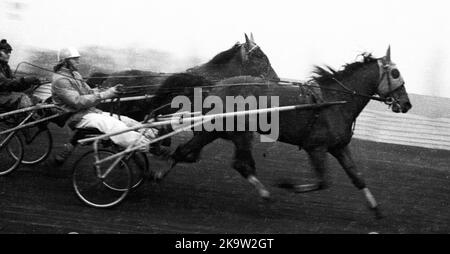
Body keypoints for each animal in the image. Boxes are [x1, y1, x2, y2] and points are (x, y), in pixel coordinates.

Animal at [150, 46, 412, 217]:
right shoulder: (316, 147)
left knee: (212, 157)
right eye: (396, 73)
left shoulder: (339, 147)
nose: (406, 104)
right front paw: (288, 185)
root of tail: (215, 85)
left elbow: (357, 177)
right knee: (209, 156)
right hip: (220, 130)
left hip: (228, 131)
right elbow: (323, 181)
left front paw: (376, 209)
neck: (333, 101)